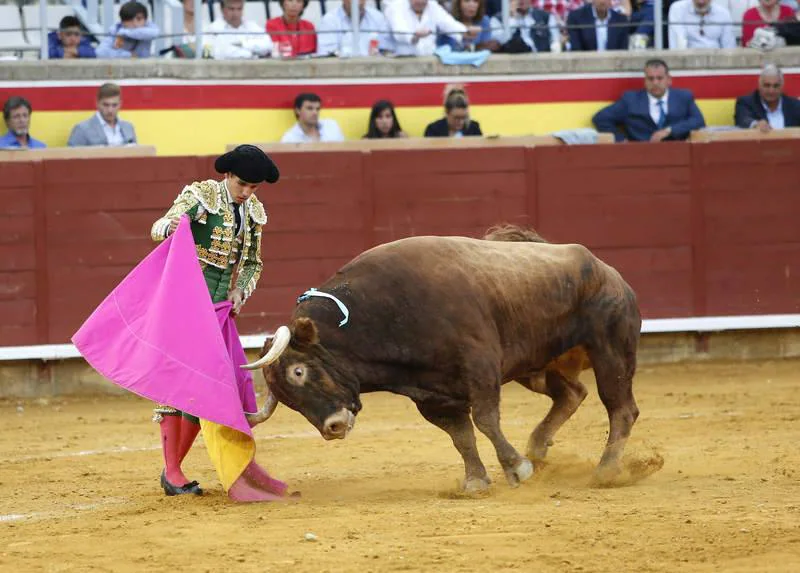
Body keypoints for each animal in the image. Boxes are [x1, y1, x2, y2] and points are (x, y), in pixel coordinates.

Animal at [241, 226, 640, 490]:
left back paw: (604, 471)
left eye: (298, 371)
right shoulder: (432, 396)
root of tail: (607, 271)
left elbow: (485, 419)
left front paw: (516, 468)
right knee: (572, 394)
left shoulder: (480, 365)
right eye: (289, 401)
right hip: (538, 365)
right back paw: (539, 449)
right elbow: (461, 436)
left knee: (620, 408)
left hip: (610, 352)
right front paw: (476, 481)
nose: (333, 427)